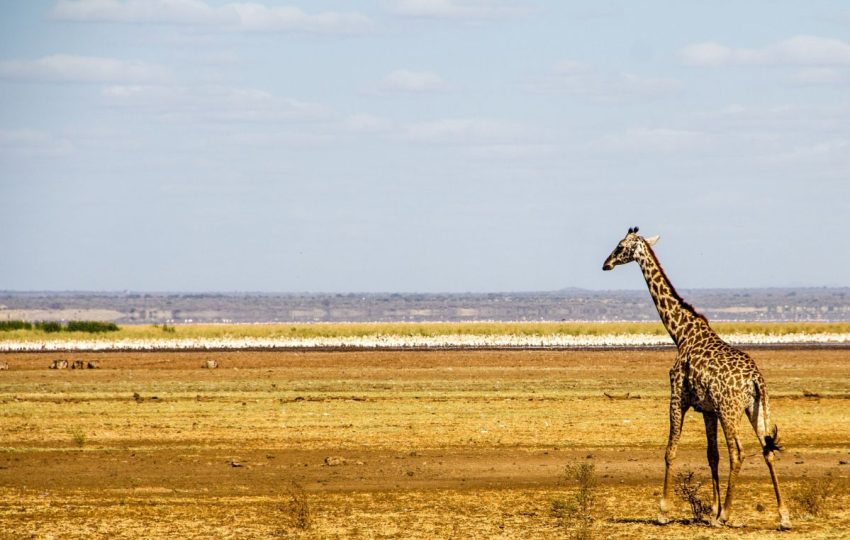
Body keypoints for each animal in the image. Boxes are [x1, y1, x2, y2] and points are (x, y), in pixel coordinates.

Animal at [600, 226, 792, 528]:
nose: (605, 264)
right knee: (767, 450)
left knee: (738, 452)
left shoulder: (677, 397)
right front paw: (711, 509)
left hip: (730, 409)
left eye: (620, 246)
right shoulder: (708, 409)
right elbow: (712, 455)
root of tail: (755, 380)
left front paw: (663, 511)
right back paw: (783, 516)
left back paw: (726, 515)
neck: (681, 334)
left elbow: (670, 451)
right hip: (755, 409)